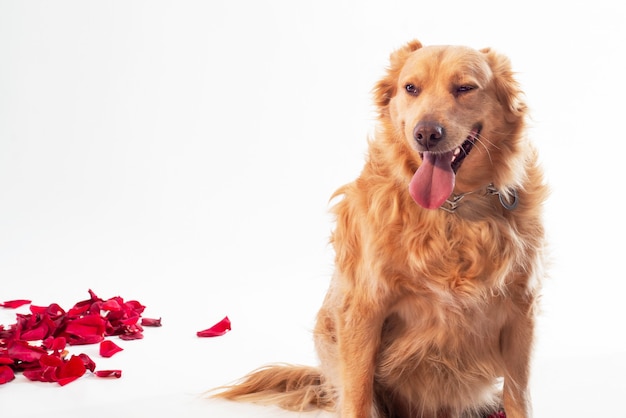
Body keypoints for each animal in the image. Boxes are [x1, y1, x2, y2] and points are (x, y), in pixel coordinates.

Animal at [213, 40, 544, 418]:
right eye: (411, 88)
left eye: (464, 88)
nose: (426, 134)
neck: (452, 210)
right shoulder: (364, 306)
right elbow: (358, 396)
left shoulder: (521, 309)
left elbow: (518, 395)